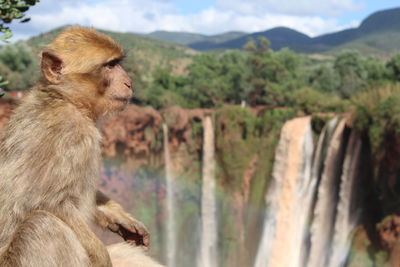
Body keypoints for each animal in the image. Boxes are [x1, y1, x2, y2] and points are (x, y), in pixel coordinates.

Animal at [0, 25, 164, 267]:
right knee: (43, 225)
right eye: (110, 65)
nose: (129, 82)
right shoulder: (73, 134)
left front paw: (117, 216)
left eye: (117, 63)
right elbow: (46, 203)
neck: (65, 99)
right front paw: (102, 255)